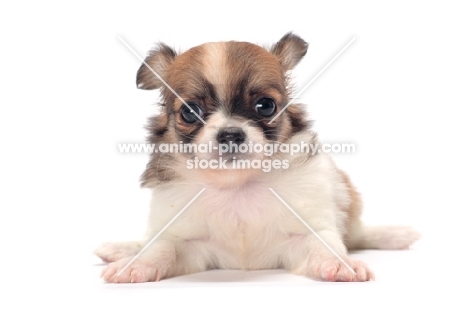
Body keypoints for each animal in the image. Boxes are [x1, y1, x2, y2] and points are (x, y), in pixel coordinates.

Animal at [95, 33, 420, 282]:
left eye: (266, 106)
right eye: (189, 112)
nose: (230, 134)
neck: (236, 185)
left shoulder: (307, 232)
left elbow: (325, 243)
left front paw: (342, 264)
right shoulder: (186, 242)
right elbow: (162, 247)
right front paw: (135, 264)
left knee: (360, 234)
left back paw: (395, 234)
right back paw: (123, 250)